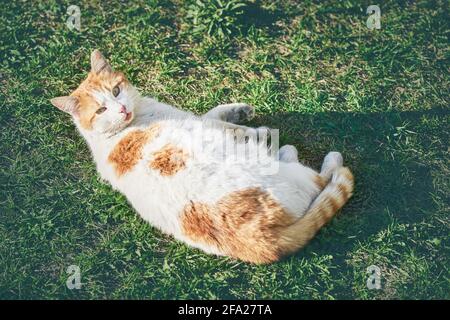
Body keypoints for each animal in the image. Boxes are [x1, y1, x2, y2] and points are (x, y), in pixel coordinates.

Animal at [51, 50, 356, 264]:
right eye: (101, 110)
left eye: (115, 90)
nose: (122, 109)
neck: (119, 130)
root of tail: (267, 241)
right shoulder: (203, 124)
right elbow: (227, 124)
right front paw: (259, 130)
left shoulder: (197, 118)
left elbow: (216, 111)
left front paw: (242, 111)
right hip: (292, 175)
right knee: (323, 178)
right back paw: (299, 153)